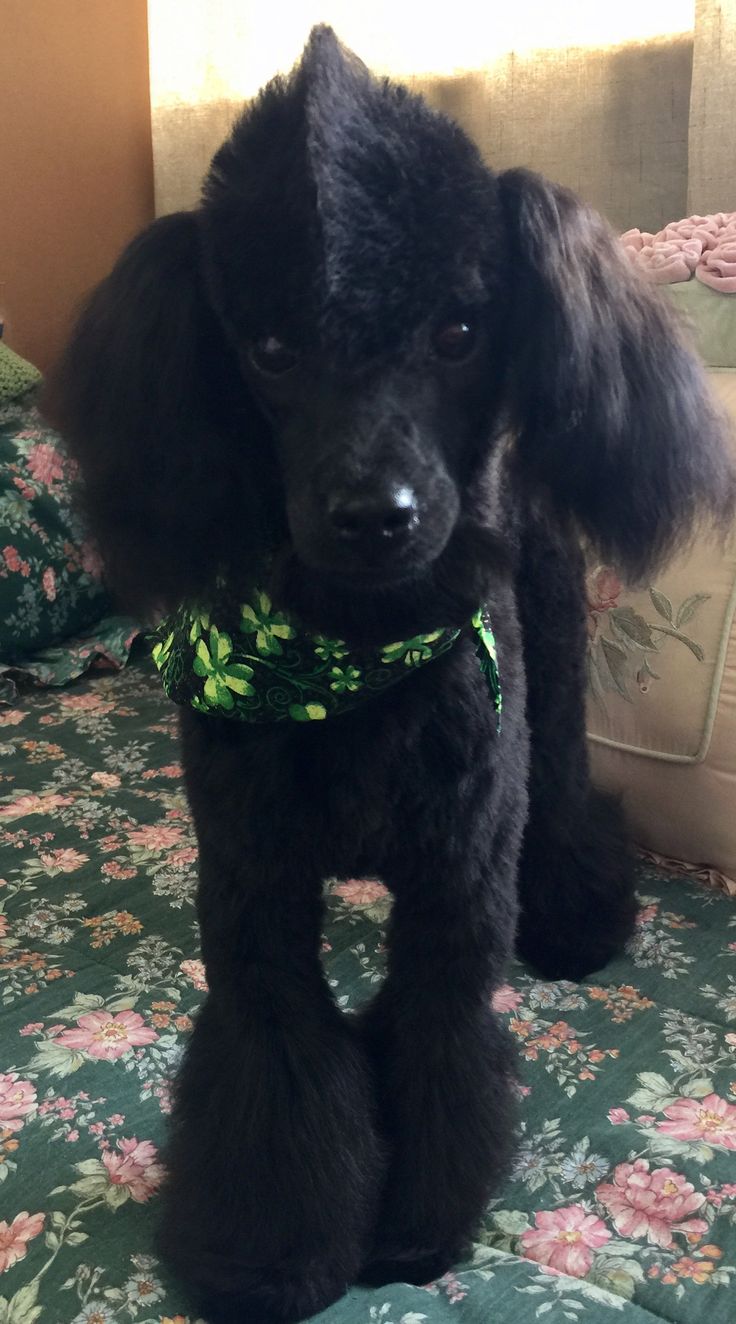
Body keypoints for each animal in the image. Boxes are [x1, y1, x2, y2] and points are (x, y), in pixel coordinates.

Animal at [47, 23, 736, 1324]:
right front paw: (270, 1250)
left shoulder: (456, 880)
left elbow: (434, 1038)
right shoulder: (253, 885)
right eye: (268, 350)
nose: (377, 515)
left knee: (565, 788)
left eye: (458, 334)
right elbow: (279, 1054)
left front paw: (413, 1232)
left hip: (554, 668)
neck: (353, 656)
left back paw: (574, 915)